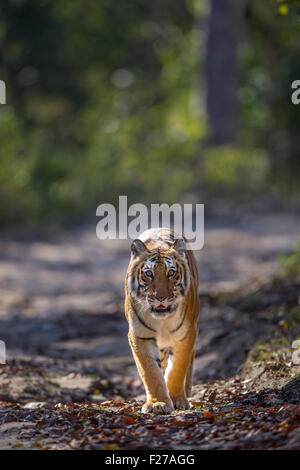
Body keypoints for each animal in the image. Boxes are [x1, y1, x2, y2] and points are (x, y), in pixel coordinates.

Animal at [124, 228, 199, 414]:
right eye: (149, 274)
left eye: (170, 273)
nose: (161, 297)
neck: (162, 320)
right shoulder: (140, 336)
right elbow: (150, 372)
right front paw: (157, 403)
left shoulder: (186, 335)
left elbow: (177, 369)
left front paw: (178, 399)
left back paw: (187, 391)